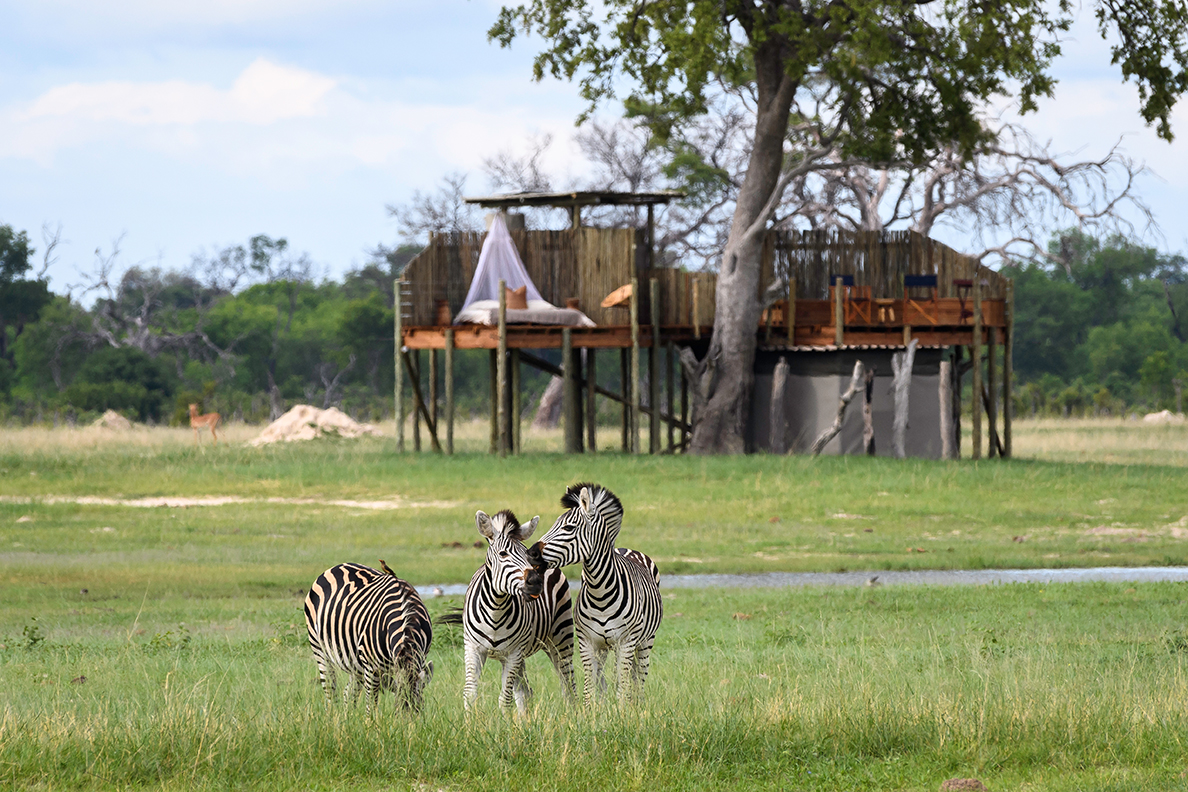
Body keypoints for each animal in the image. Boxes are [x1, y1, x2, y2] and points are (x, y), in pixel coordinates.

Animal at [303, 561, 434, 713]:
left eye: (420, 710)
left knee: (349, 692)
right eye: (396, 713)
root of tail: (338, 566)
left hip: (355, 662)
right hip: (319, 648)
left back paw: (349, 717)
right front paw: (371, 720)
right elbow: (371, 705)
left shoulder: (420, 658)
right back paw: (334, 716)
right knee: (330, 689)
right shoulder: (372, 668)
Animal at [441, 509, 575, 714]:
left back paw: (575, 714)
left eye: (527, 554)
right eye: (503, 554)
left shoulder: (513, 653)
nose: (536, 582)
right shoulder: (473, 649)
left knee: (568, 684)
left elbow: (504, 699)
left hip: (561, 638)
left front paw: (504, 724)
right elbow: (470, 694)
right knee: (525, 692)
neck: (496, 611)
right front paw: (470, 722)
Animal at [530, 483, 662, 703]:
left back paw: (638, 703)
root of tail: (623, 549)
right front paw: (592, 711)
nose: (530, 553)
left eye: (568, 528)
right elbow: (589, 689)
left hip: (645, 641)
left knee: (638, 678)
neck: (601, 594)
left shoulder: (626, 643)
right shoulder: (587, 643)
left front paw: (622, 711)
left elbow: (622, 690)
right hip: (604, 648)